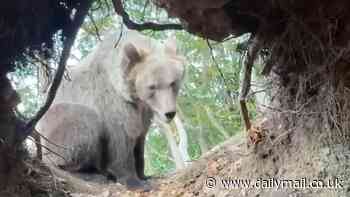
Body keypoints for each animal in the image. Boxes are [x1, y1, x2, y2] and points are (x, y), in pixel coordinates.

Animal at [37, 29, 186, 189]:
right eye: (152, 86)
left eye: (173, 83)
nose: (169, 113)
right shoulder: (113, 103)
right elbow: (121, 141)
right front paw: (135, 182)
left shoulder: (144, 112)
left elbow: (140, 139)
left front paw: (144, 175)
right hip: (55, 125)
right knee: (80, 124)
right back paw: (90, 174)